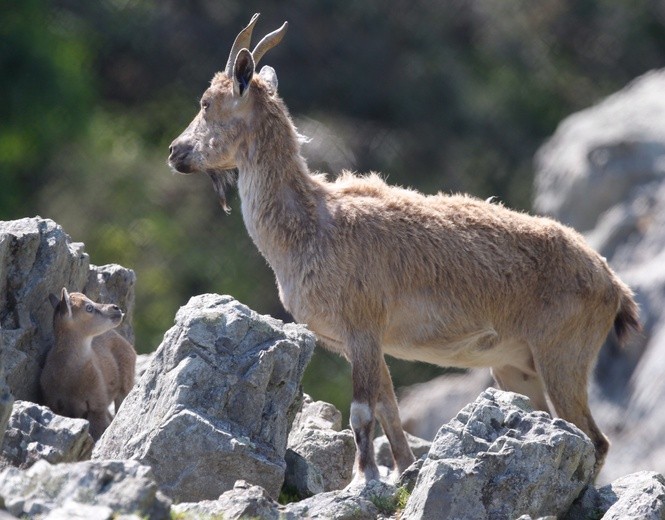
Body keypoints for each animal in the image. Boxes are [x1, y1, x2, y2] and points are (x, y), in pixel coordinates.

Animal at [167, 15, 640, 484]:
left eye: (206, 102)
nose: (175, 151)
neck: (311, 225)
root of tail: (613, 284)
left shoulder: (362, 327)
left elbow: (361, 411)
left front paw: (364, 478)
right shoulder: (362, 342)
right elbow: (388, 408)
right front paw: (402, 471)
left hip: (562, 355)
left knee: (594, 438)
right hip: (516, 367)